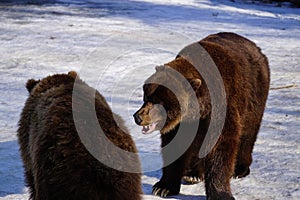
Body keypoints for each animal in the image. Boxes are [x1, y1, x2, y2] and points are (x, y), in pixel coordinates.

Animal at [134, 32, 270, 199]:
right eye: (146, 97)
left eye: (159, 102)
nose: (138, 117)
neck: (198, 107)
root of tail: (254, 45)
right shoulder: (182, 123)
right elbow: (175, 145)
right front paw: (163, 187)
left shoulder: (219, 107)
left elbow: (220, 146)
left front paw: (221, 193)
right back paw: (193, 174)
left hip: (254, 94)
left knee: (248, 132)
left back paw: (239, 169)